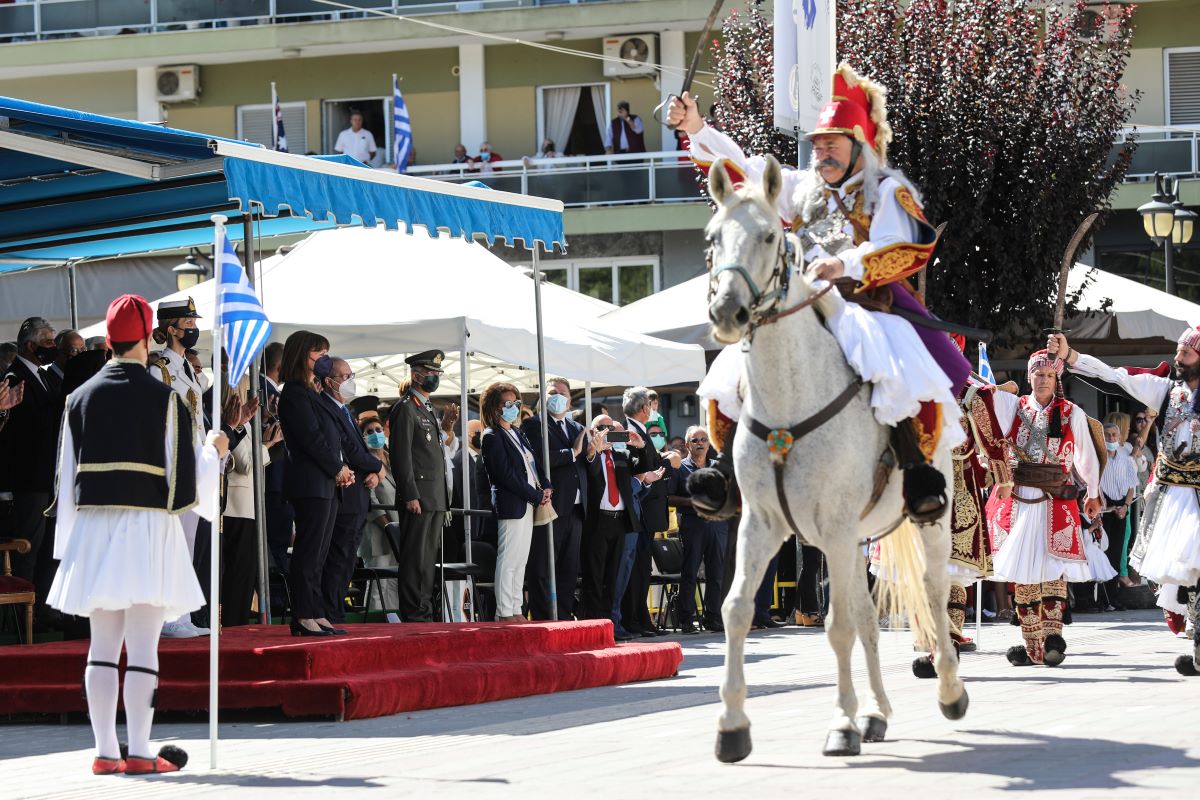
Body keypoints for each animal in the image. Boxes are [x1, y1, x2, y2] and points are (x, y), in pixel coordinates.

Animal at [705, 153, 969, 762]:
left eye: (768, 235)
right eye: (713, 238)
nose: (727, 312)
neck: (789, 396)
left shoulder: (837, 524)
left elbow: (839, 627)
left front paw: (842, 724)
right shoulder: (763, 524)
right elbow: (736, 609)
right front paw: (732, 726)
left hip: (922, 521)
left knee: (932, 590)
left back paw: (949, 690)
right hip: (850, 540)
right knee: (870, 616)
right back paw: (877, 713)